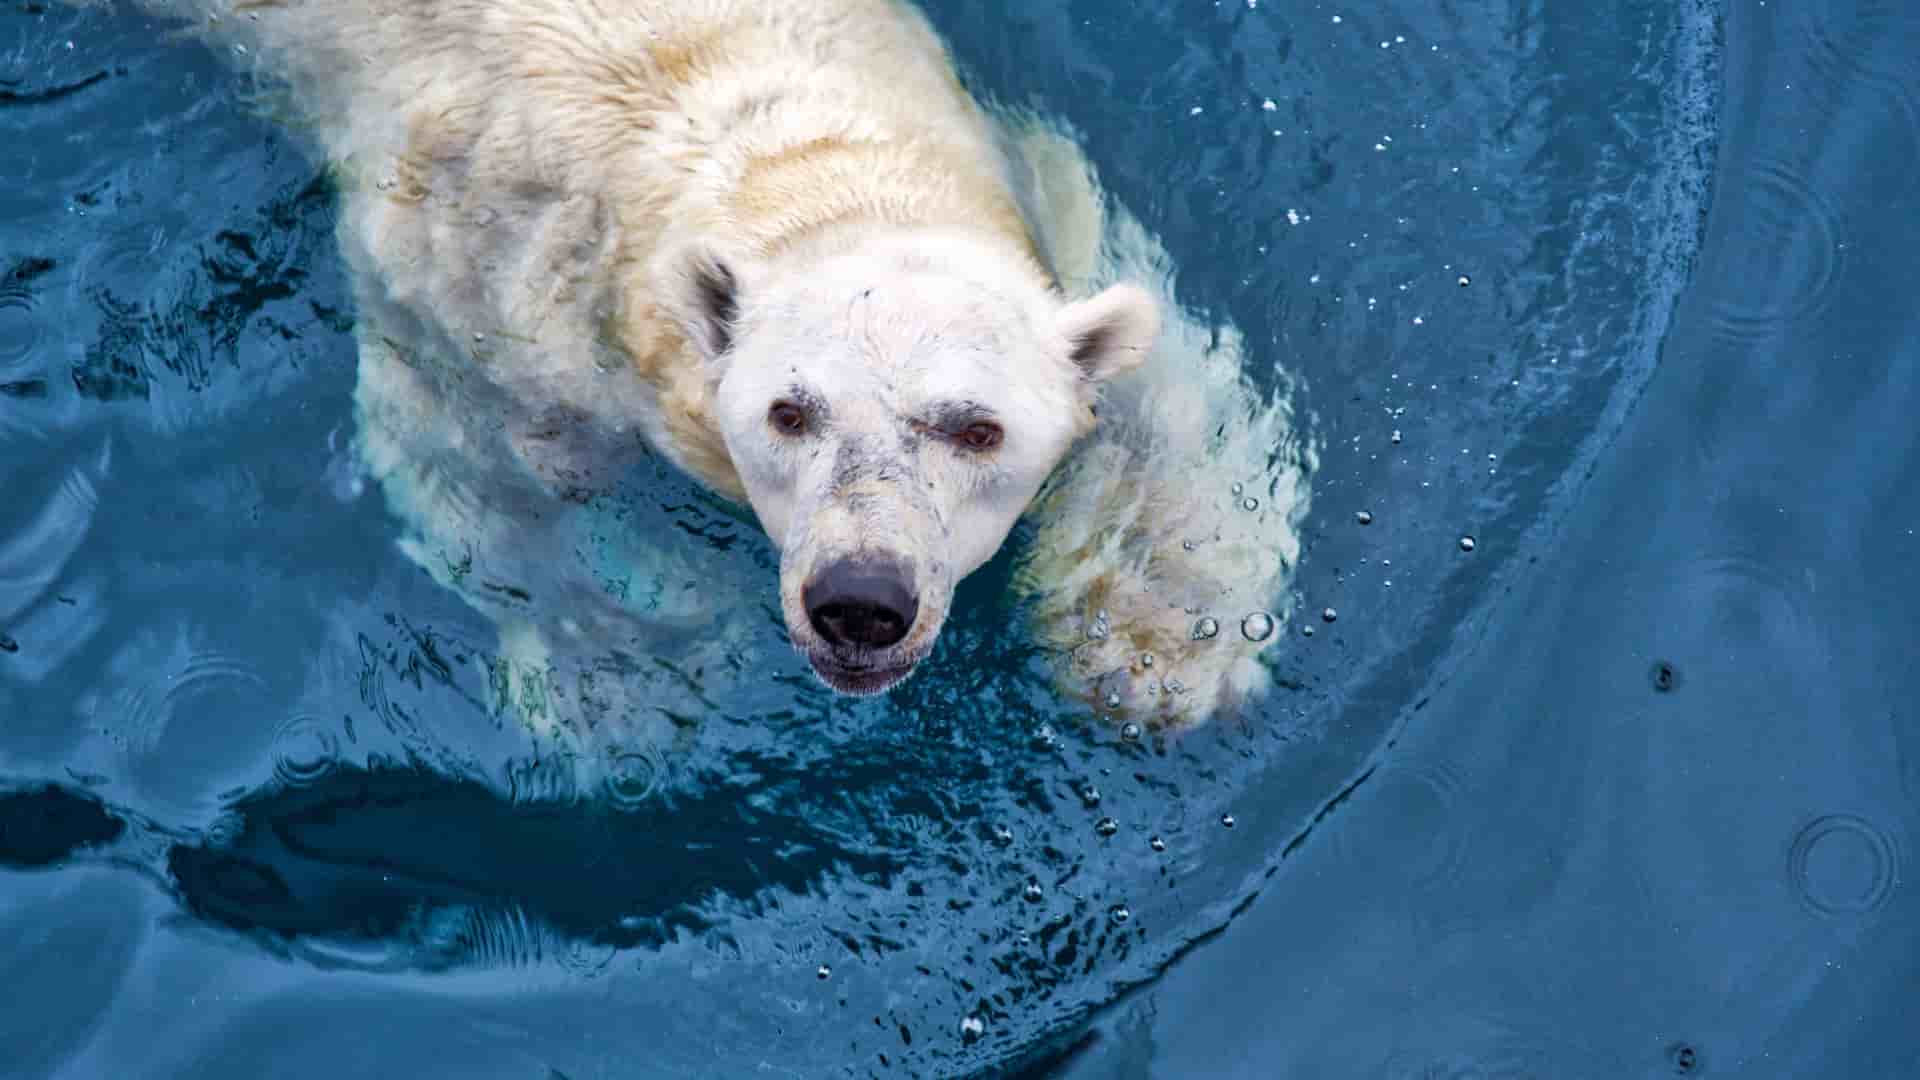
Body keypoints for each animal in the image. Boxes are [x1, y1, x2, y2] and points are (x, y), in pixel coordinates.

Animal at [109, 0, 1315, 742]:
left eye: (977, 427)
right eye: (789, 413)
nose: (861, 603)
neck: (786, 152)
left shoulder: (1038, 194)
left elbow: (1158, 379)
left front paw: (1161, 645)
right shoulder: (481, 278)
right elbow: (466, 449)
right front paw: (620, 674)